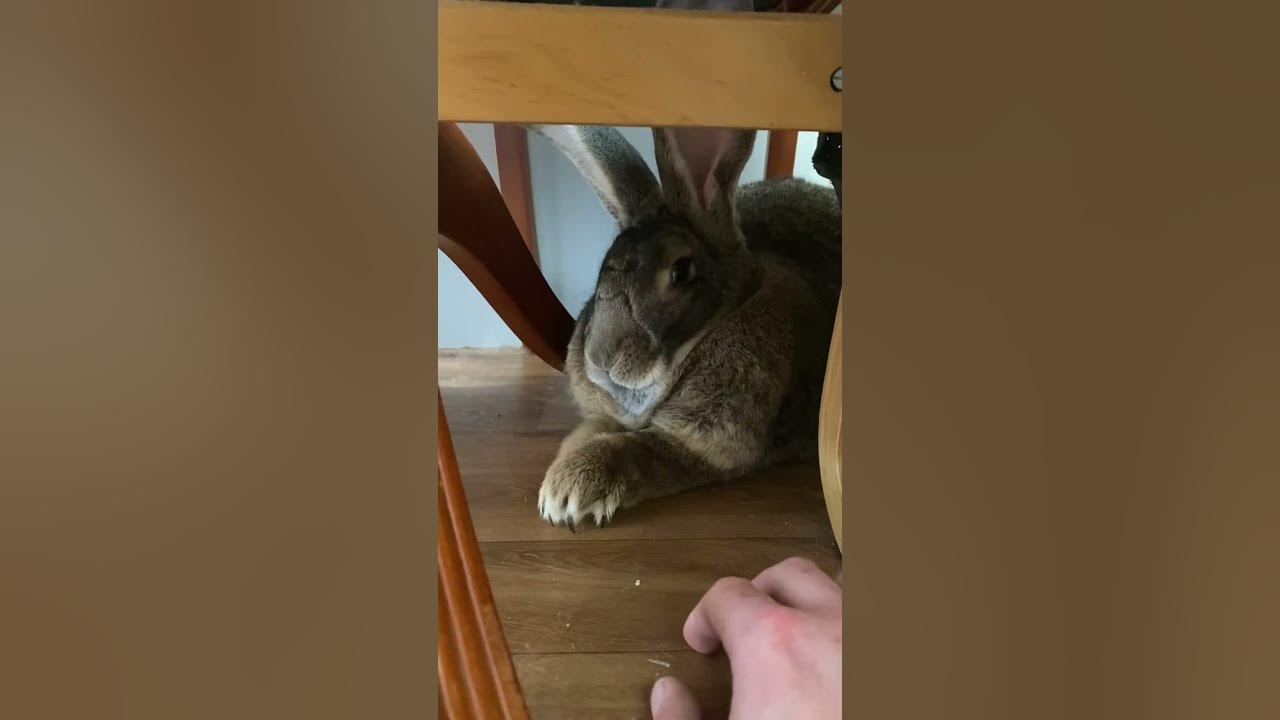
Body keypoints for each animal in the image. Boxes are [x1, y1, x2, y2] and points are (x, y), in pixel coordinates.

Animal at [526, 124, 841, 529]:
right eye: (603, 270)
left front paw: (568, 492)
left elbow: (639, 449)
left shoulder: (708, 444)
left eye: (681, 272)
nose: (601, 358)